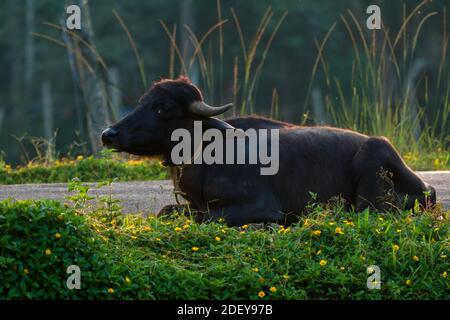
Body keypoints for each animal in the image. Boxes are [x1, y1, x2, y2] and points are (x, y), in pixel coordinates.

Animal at [102, 76, 436, 226]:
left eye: (164, 108)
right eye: (143, 102)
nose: (109, 134)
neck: (207, 157)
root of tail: (427, 188)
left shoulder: (263, 206)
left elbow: (208, 217)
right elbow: (166, 211)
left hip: (373, 170)